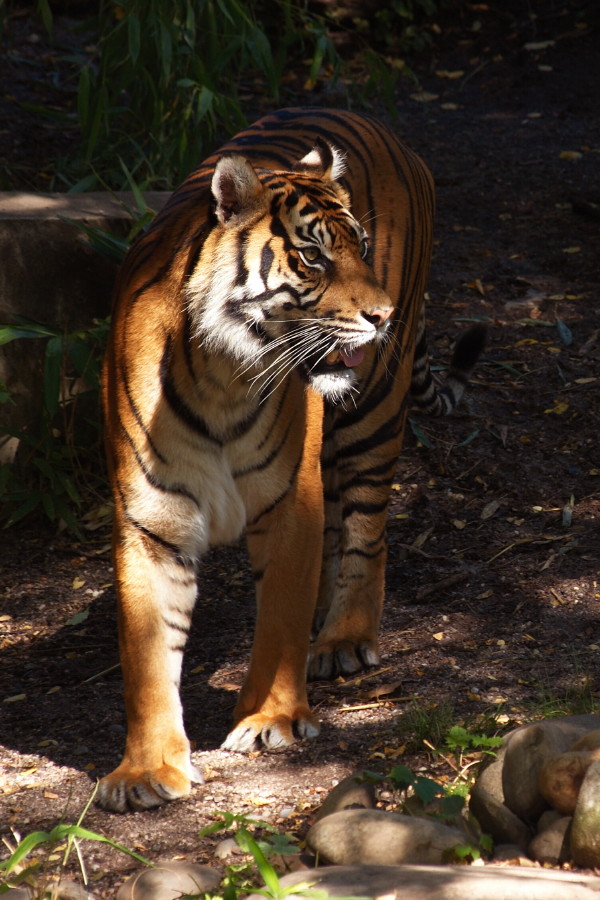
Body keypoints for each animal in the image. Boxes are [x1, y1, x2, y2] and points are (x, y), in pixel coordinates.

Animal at [99, 107, 485, 812]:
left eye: (360, 246)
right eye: (313, 256)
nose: (383, 315)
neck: (223, 372)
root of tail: (373, 120)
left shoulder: (287, 502)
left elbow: (280, 614)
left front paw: (270, 720)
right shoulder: (151, 523)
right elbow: (147, 654)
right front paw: (146, 769)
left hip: (375, 411)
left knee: (367, 526)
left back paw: (343, 638)